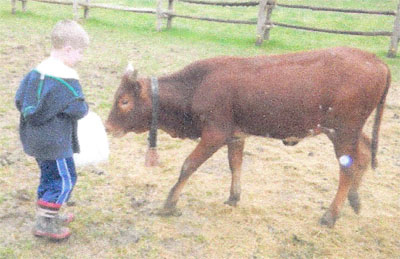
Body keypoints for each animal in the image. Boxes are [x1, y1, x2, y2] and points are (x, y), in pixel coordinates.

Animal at [105, 46, 390, 228]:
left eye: (124, 101)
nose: (107, 127)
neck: (197, 86)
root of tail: (377, 61)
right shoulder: (236, 134)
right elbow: (235, 164)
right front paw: (233, 197)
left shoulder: (215, 133)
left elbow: (188, 165)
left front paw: (169, 203)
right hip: (350, 131)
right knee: (365, 152)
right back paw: (354, 200)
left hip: (342, 131)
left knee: (347, 168)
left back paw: (330, 216)